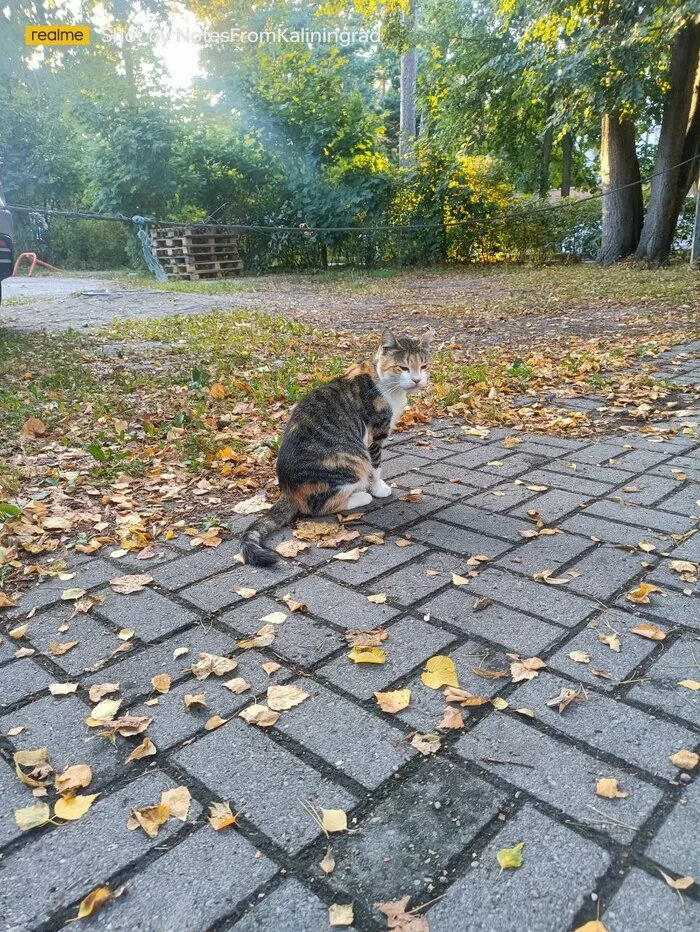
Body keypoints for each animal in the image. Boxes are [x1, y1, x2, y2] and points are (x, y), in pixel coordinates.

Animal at [243, 328, 434, 564]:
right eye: (404, 367)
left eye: (423, 366)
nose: (417, 380)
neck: (383, 381)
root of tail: (287, 491)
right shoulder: (375, 435)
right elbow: (376, 468)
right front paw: (378, 489)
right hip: (351, 461)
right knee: (319, 507)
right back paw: (361, 496)